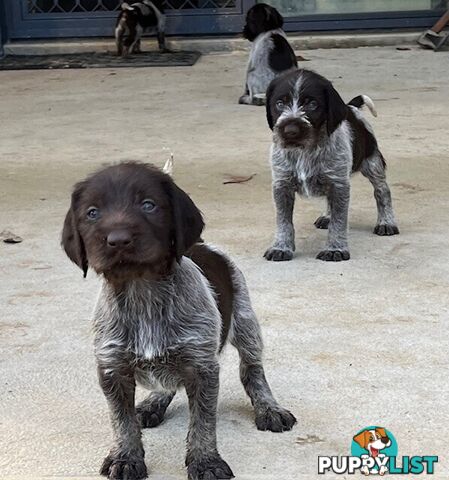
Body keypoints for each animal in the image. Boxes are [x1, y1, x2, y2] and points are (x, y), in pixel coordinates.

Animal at [61, 162, 296, 480]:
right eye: (92, 212)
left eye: (148, 205)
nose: (118, 240)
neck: (142, 289)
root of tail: (201, 244)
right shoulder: (112, 368)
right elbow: (122, 421)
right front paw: (126, 457)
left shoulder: (202, 366)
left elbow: (203, 423)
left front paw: (206, 461)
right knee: (167, 382)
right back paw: (153, 403)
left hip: (246, 321)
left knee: (252, 371)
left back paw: (269, 408)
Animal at [262, 68, 400, 262]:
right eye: (280, 103)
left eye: (312, 104)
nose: (290, 132)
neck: (306, 150)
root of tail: (351, 107)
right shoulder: (282, 184)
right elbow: (283, 221)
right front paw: (281, 247)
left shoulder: (339, 184)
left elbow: (339, 221)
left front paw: (335, 249)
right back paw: (326, 216)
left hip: (372, 162)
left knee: (382, 191)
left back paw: (386, 222)